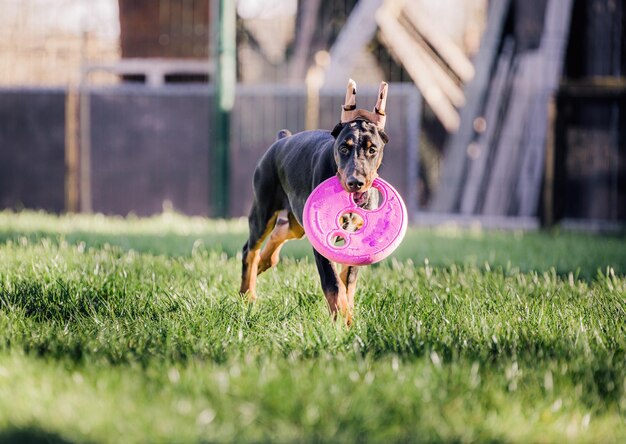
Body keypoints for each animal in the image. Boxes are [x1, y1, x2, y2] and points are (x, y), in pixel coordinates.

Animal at [241, 79, 388, 322]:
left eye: (372, 149)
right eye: (344, 147)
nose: (355, 182)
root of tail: (282, 139)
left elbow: (348, 280)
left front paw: (349, 312)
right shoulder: (321, 241)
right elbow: (333, 282)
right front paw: (343, 319)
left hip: (297, 221)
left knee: (281, 232)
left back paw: (264, 262)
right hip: (263, 210)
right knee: (249, 249)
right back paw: (248, 295)